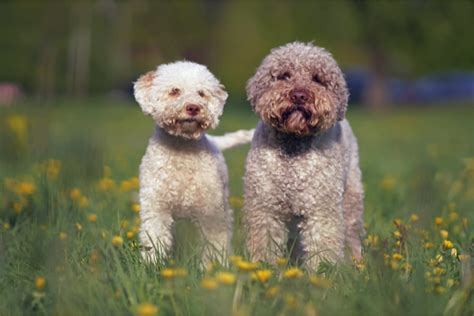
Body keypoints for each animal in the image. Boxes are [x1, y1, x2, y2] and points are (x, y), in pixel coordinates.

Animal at [133, 60, 252, 262]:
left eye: (201, 93)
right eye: (174, 91)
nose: (193, 107)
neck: (182, 149)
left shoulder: (211, 212)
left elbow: (215, 243)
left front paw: (216, 265)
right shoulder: (156, 207)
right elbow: (154, 239)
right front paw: (151, 263)